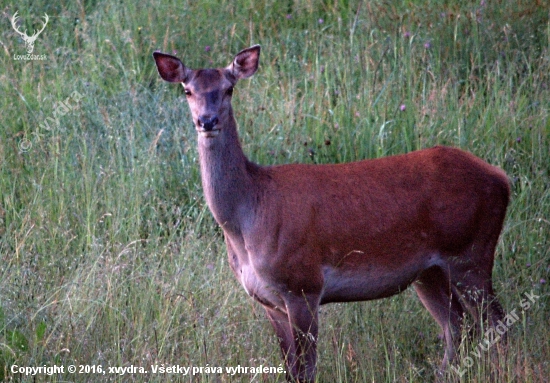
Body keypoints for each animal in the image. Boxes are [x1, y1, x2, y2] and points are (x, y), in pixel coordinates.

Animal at [153, 45, 512, 383]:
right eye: (187, 90)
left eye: (229, 88)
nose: (207, 121)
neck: (248, 218)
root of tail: (502, 178)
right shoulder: (268, 301)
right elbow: (290, 370)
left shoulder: (303, 284)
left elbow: (306, 370)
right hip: (428, 271)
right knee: (458, 327)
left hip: (470, 251)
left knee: (496, 323)